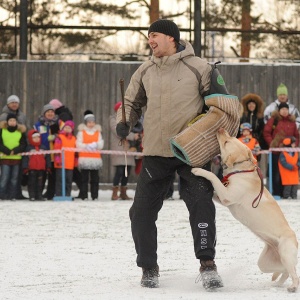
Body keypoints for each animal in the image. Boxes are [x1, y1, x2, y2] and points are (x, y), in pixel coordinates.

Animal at [192, 127, 298, 292]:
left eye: (226, 142)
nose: (221, 129)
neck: (240, 171)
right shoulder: (223, 197)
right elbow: (215, 185)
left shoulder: (227, 196)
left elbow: (213, 177)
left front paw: (198, 171)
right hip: (265, 263)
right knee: (285, 271)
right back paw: (277, 283)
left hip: (285, 253)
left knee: (294, 274)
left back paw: (292, 287)